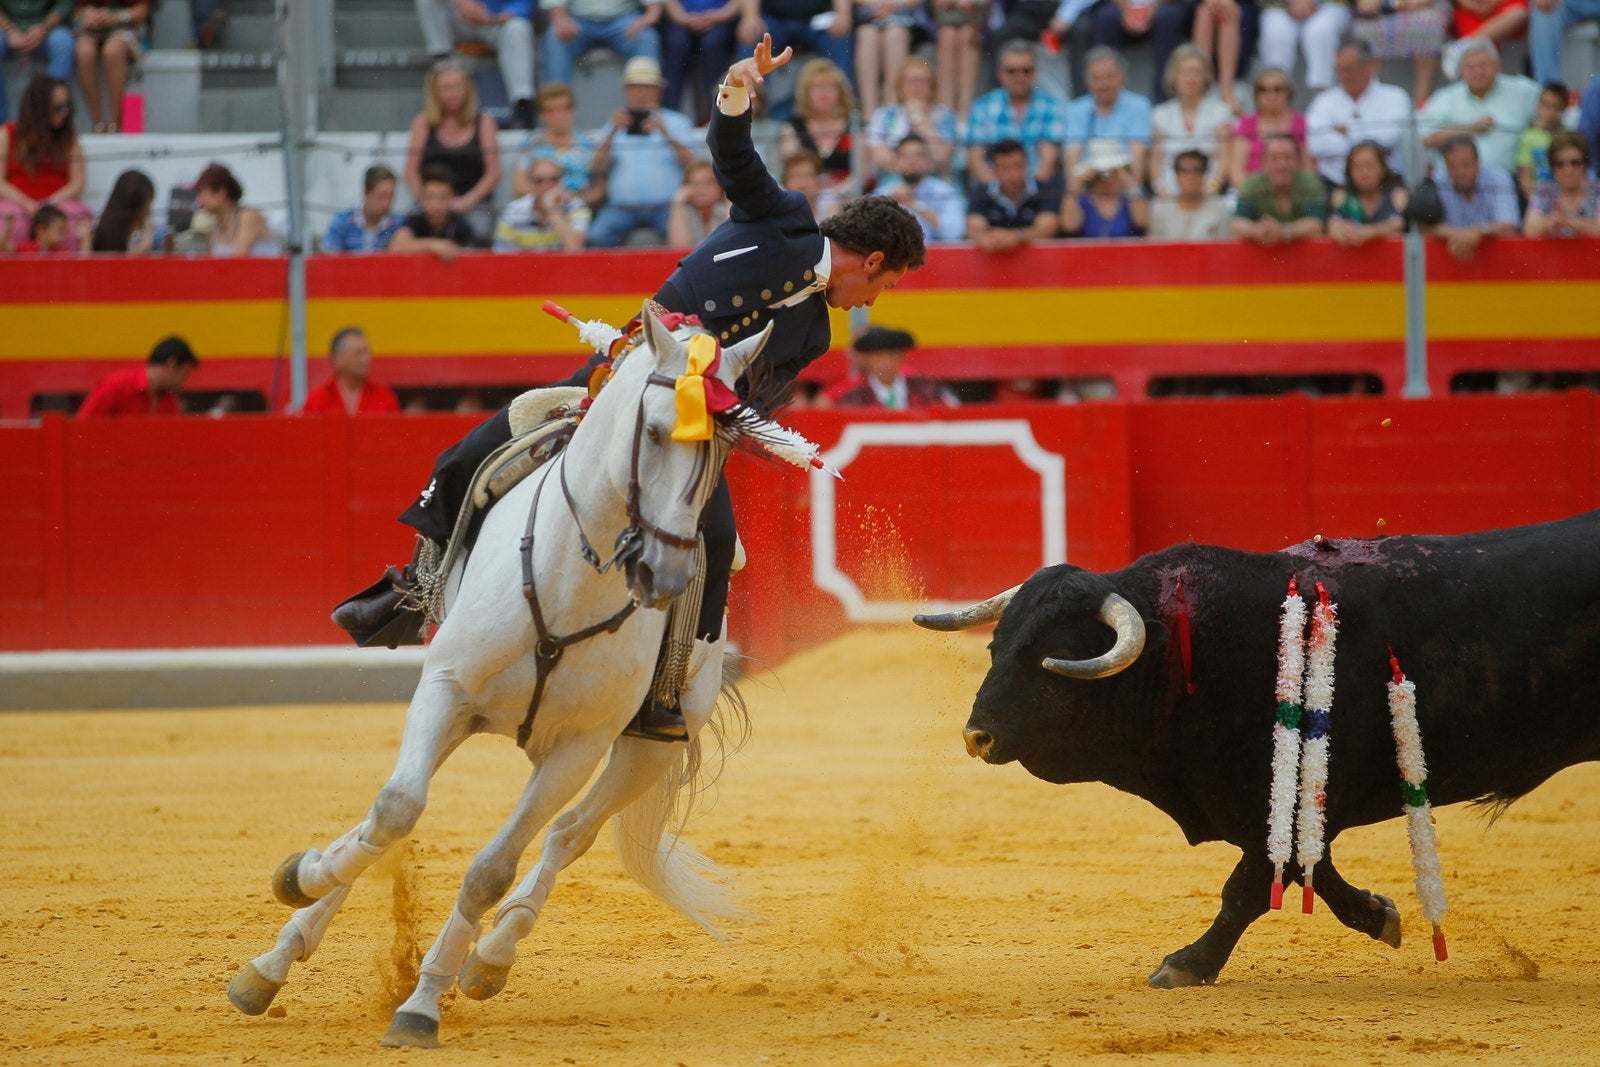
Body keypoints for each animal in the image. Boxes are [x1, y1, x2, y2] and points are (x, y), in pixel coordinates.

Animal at [227, 303, 793, 1049]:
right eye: (651, 430)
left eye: (722, 450)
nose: (664, 576)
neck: (570, 580)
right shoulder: (446, 691)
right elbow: (394, 809)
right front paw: (304, 879)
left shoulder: (578, 746)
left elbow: (491, 870)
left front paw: (422, 1003)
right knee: (392, 815)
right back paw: (277, 953)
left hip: (649, 744)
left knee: (569, 834)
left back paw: (491, 957)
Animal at [915, 508, 1600, 985]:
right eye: (997, 645)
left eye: (1052, 657)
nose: (976, 736)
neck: (1189, 650)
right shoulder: (1281, 803)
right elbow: (1306, 869)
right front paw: (1381, 914)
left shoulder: (1296, 794)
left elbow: (1251, 884)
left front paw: (1186, 965)